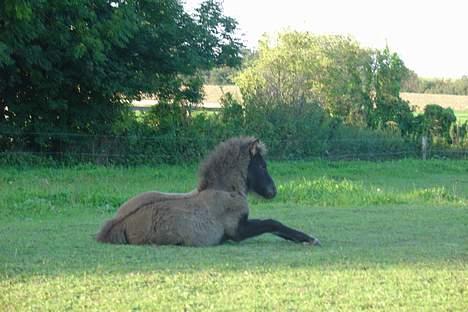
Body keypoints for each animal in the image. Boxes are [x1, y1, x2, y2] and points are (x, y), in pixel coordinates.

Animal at [96, 136, 320, 246]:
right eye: (262, 165)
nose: (273, 191)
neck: (224, 190)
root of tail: (114, 226)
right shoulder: (237, 230)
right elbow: (272, 223)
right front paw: (310, 239)